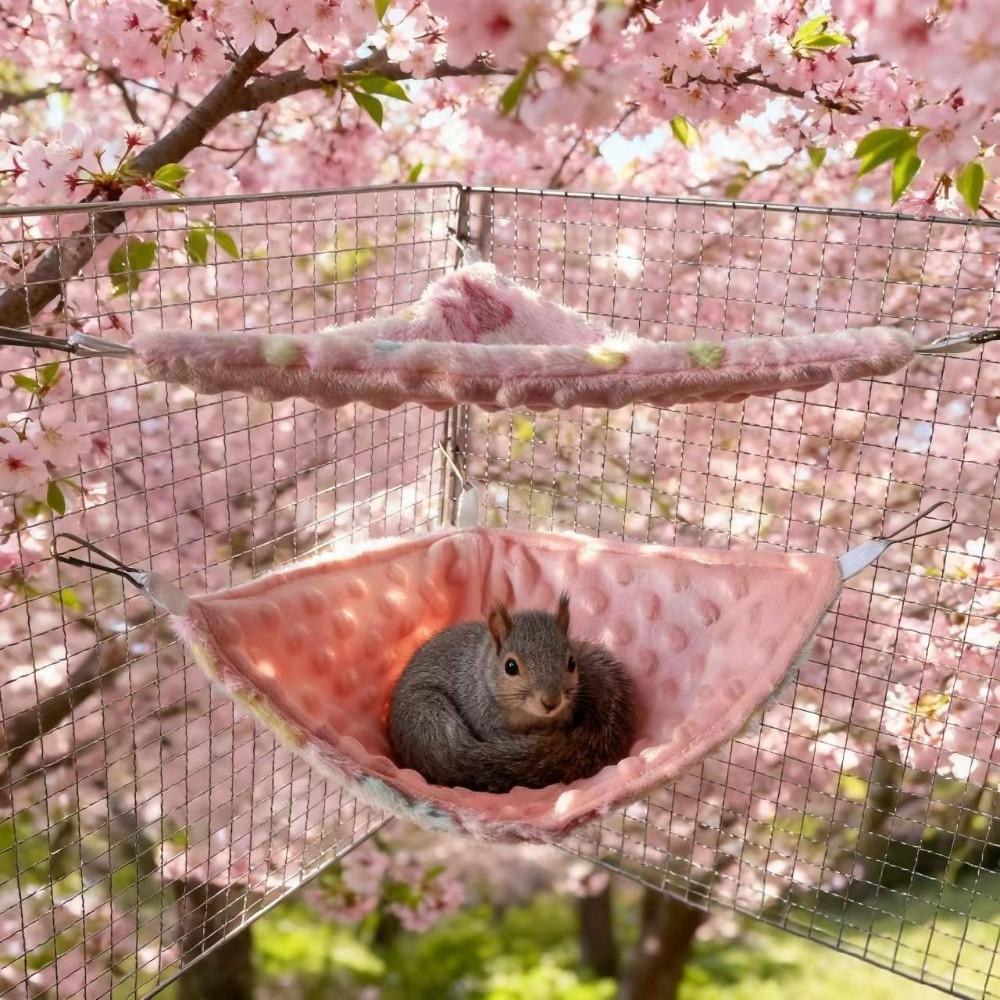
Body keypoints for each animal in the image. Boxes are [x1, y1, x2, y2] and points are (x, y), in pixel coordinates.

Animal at [387, 593, 637, 794]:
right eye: (510, 666)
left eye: (572, 662)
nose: (551, 702)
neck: (528, 716)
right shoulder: (482, 717)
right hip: (427, 714)